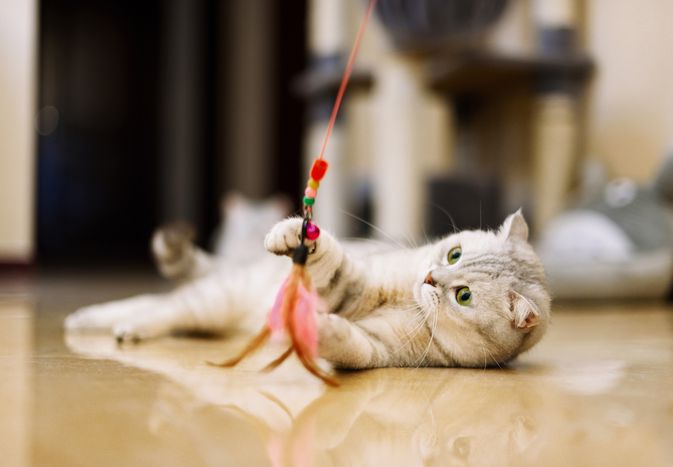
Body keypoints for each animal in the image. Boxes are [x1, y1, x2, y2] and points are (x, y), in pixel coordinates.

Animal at [63, 211, 548, 370]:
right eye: (453, 254)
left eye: (463, 296)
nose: (430, 278)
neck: (407, 298)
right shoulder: (356, 281)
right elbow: (333, 263)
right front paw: (298, 235)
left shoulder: (375, 348)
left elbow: (350, 343)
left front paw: (321, 329)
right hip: (213, 300)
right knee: (159, 305)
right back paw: (98, 321)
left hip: (211, 309)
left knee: (160, 305)